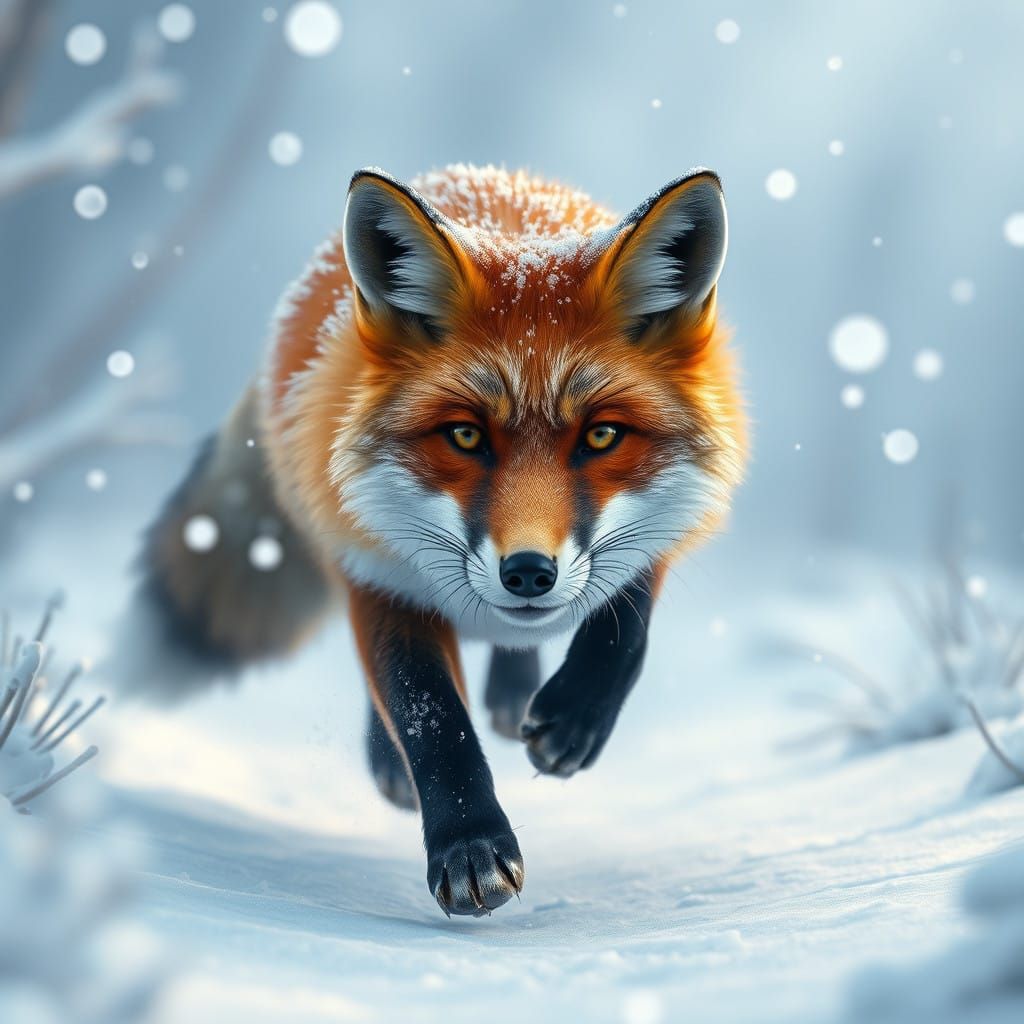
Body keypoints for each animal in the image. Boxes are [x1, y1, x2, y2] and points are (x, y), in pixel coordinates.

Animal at [123, 163, 746, 917]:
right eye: (465, 436)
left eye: (601, 436)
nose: (528, 573)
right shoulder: (377, 571)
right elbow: (427, 712)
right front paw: (470, 845)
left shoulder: (670, 515)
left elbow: (624, 628)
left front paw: (574, 718)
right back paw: (396, 758)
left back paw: (515, 691)